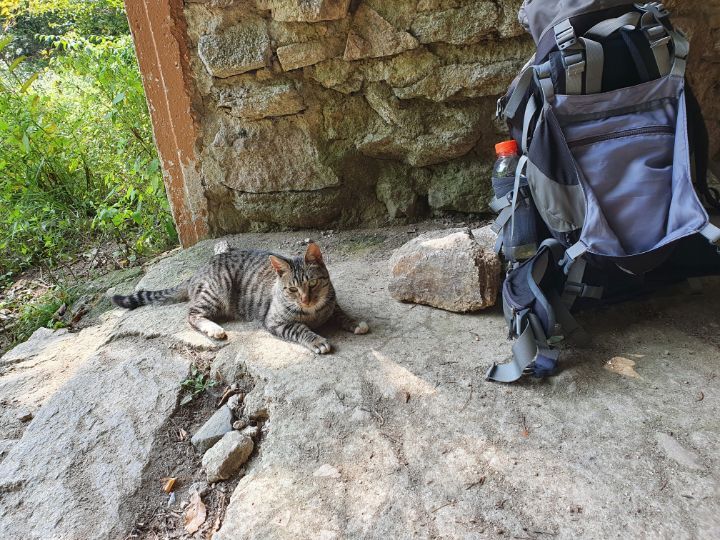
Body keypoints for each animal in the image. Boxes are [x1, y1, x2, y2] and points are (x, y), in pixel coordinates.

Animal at [111, 242, 369, 354]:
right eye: (293, 290)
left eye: (312, 284)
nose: (306, 300)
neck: (312, 313)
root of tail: (198, 271)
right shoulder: (275, 322)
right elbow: (301, 329)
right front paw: (316, 340)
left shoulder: (332, 304)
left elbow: (341, 313)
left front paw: (355, 322)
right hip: (218, 290)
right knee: (192, 314)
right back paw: (214, 329)